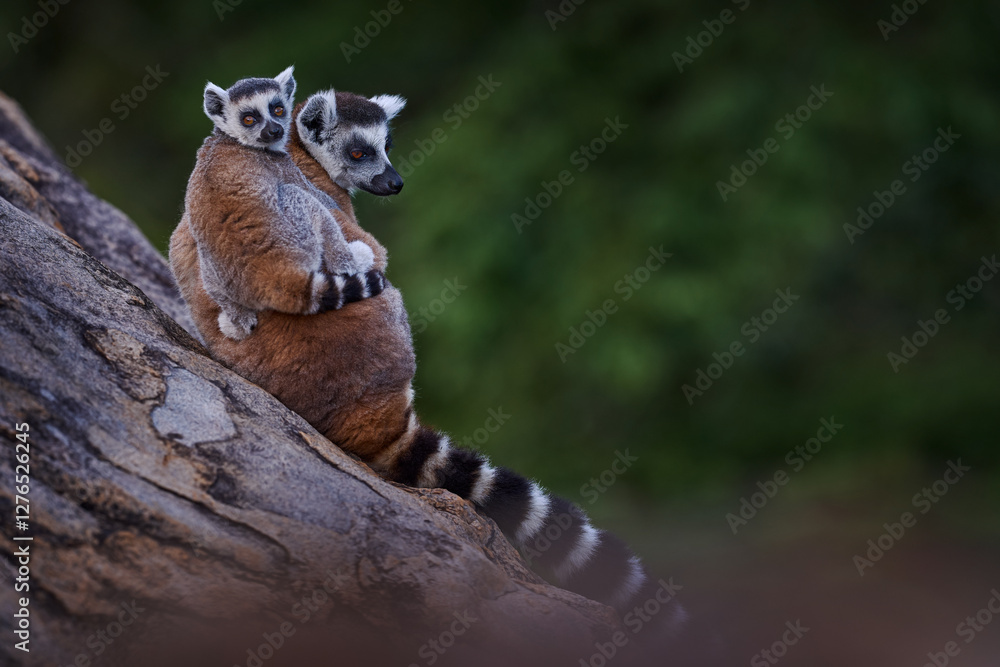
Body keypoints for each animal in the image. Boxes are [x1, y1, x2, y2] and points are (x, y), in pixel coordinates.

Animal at [170, 66, 385, 343]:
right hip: (298, 232)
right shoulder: (282, 166)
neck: (228, 139)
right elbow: (321, 198)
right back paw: (352, 259)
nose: (274, 131)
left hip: (215, 273)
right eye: (249, 119)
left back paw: (236, 323)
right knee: (306, 202)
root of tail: (273, 276)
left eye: (278, 110)